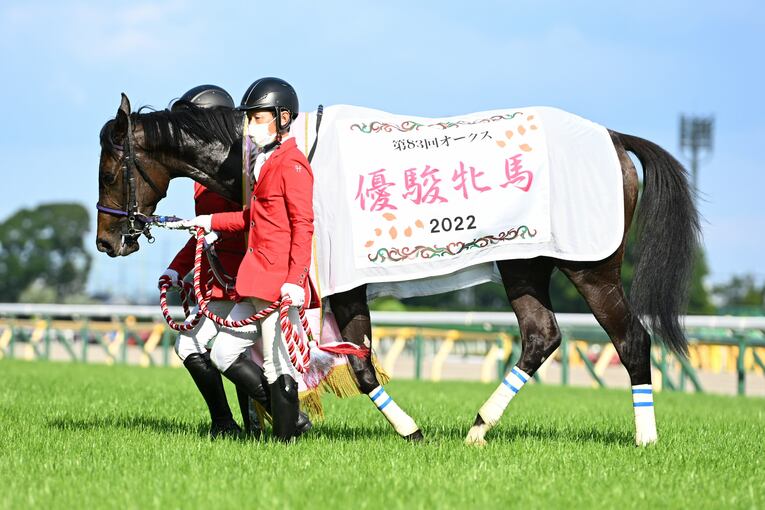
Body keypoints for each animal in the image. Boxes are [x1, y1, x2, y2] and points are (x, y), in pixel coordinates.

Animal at [96, 94, 700, 446]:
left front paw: (405, 429)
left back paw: (645, 438)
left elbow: (359, 366)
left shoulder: (340, 282)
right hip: (522, 263)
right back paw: (479, 428)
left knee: (631, 339)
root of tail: (613, 138)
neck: (287, 152)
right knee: (540, 336)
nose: (107, 241)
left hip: (591, 267)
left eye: (109, 169)